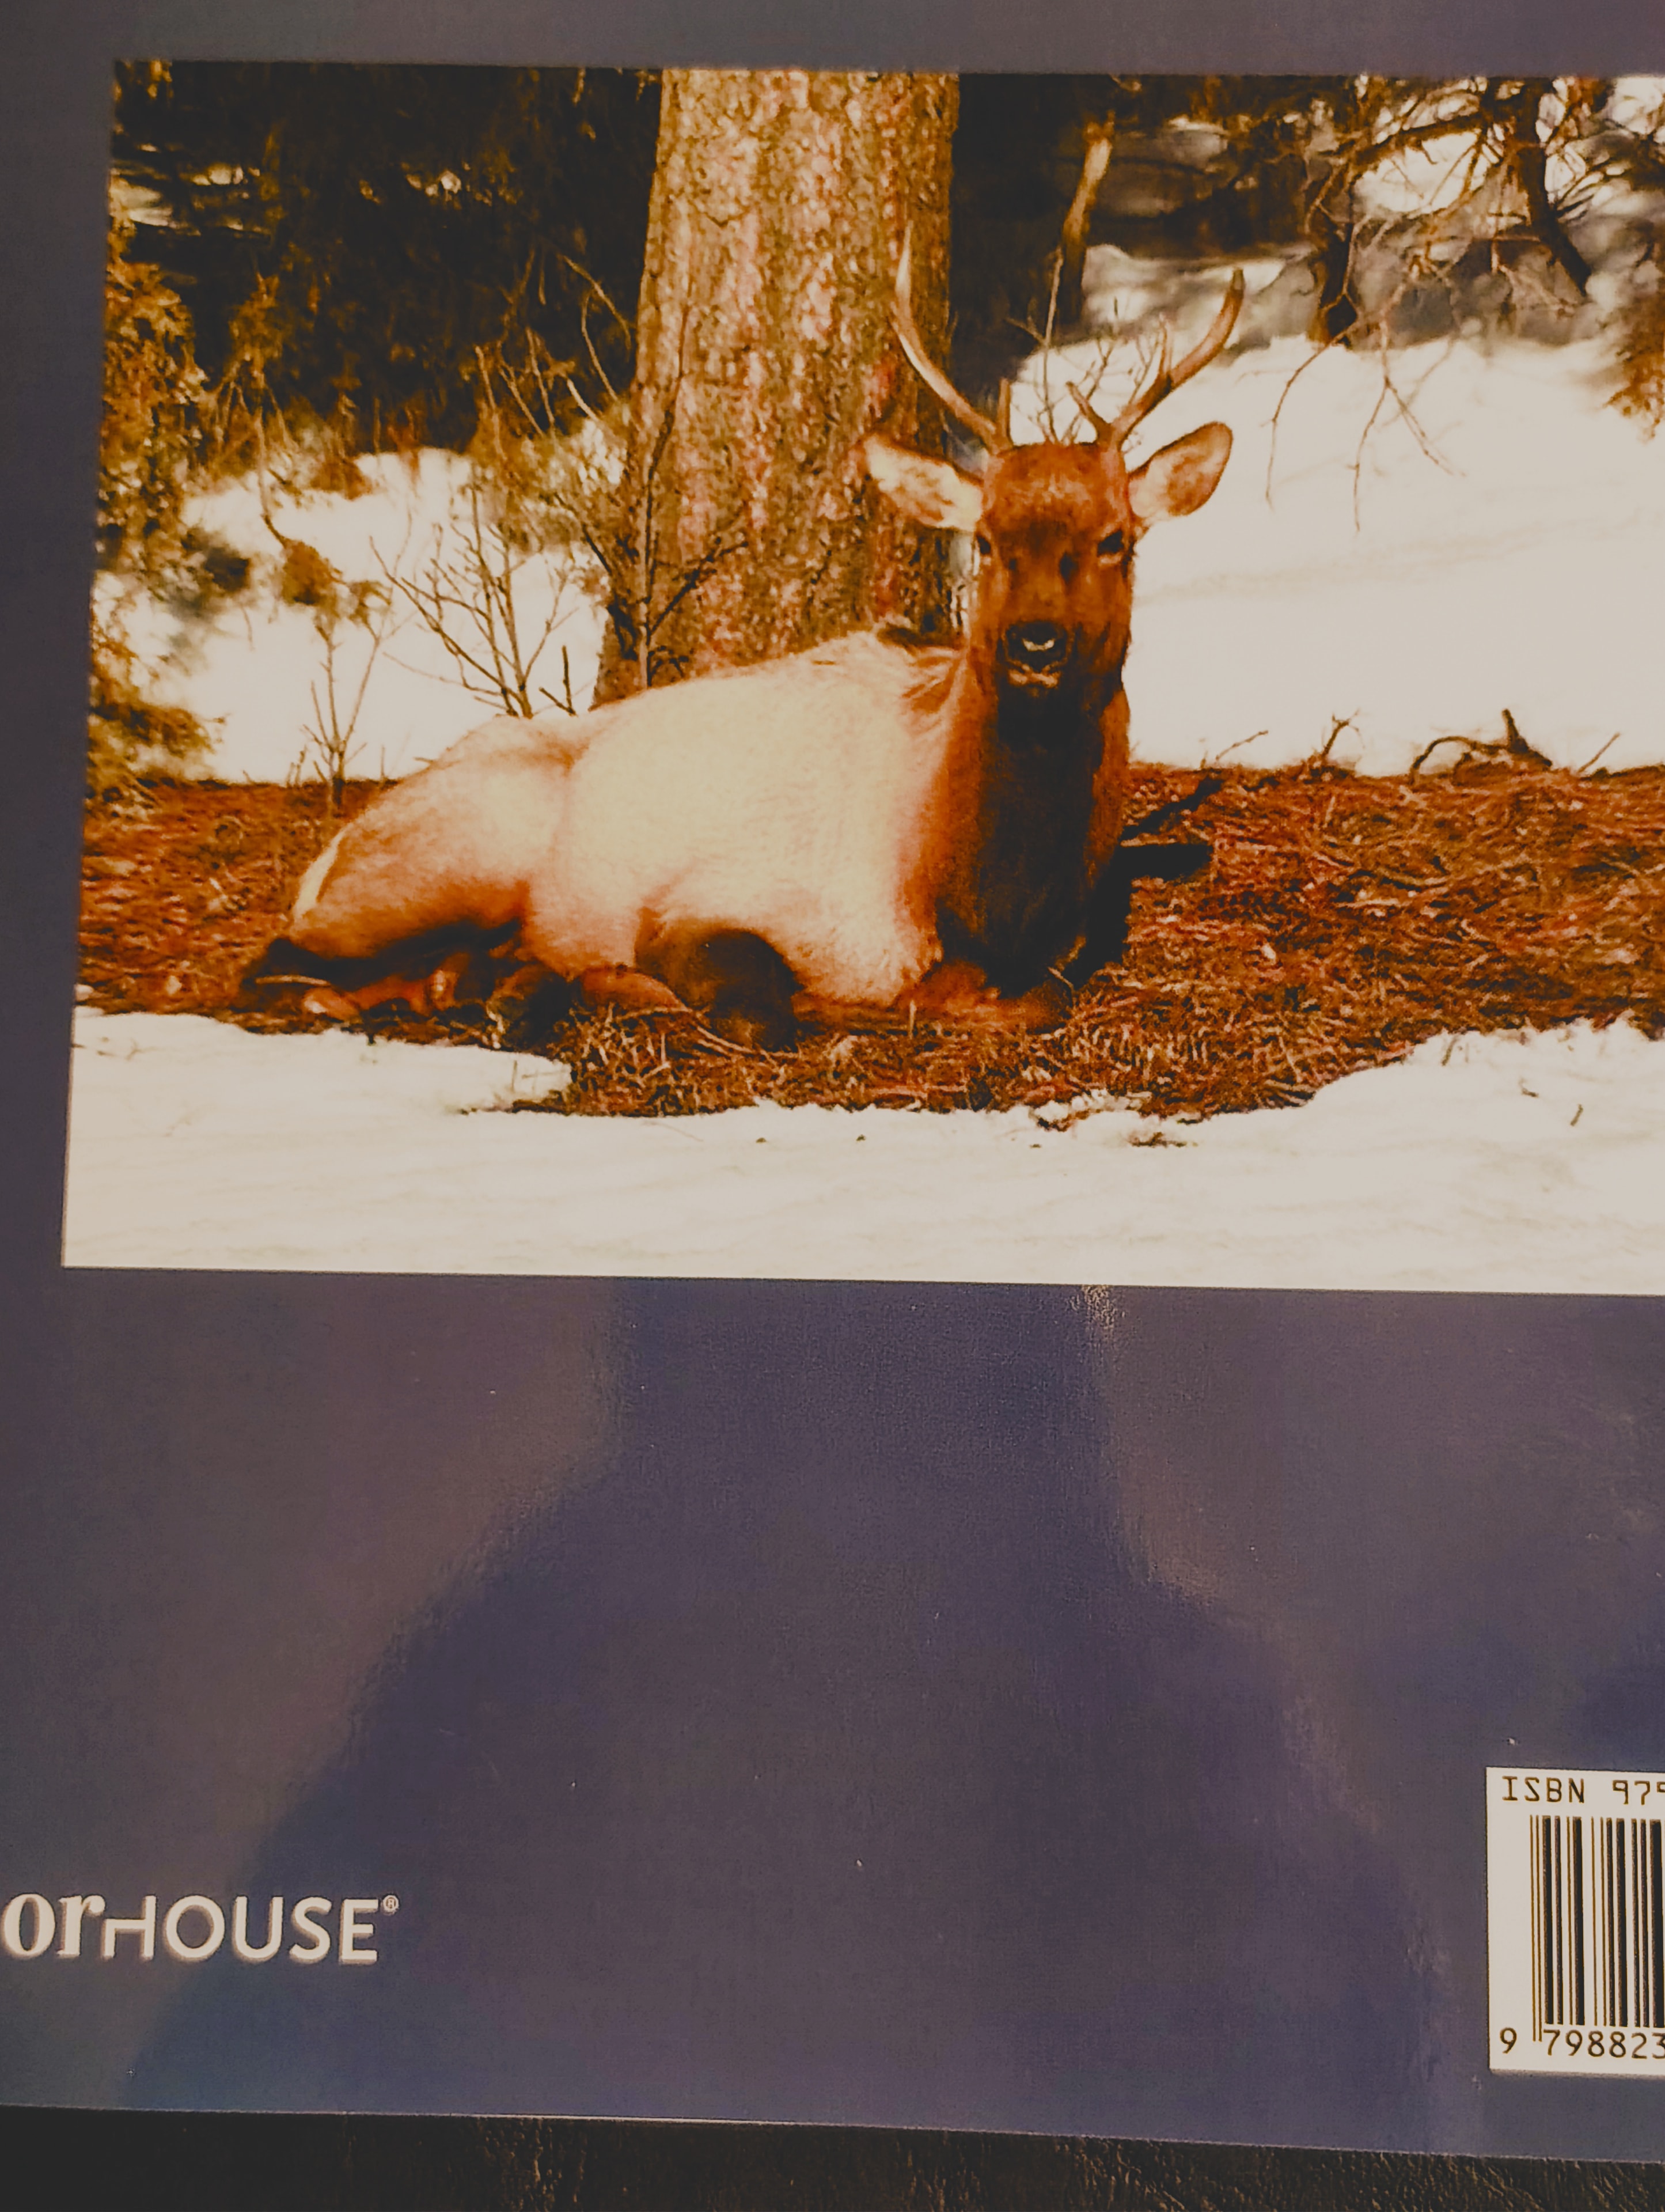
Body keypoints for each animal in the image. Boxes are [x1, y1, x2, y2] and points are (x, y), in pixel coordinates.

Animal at [244, 251, 1244, 1048]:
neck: (976, 901)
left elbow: (1039, 999)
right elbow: (774, 1006)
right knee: (272, 962)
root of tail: (327, 855)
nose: (1035, 642)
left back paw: (481, 988)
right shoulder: (708, 902)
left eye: (1115, 538)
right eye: (988, 539)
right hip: (459, 856)